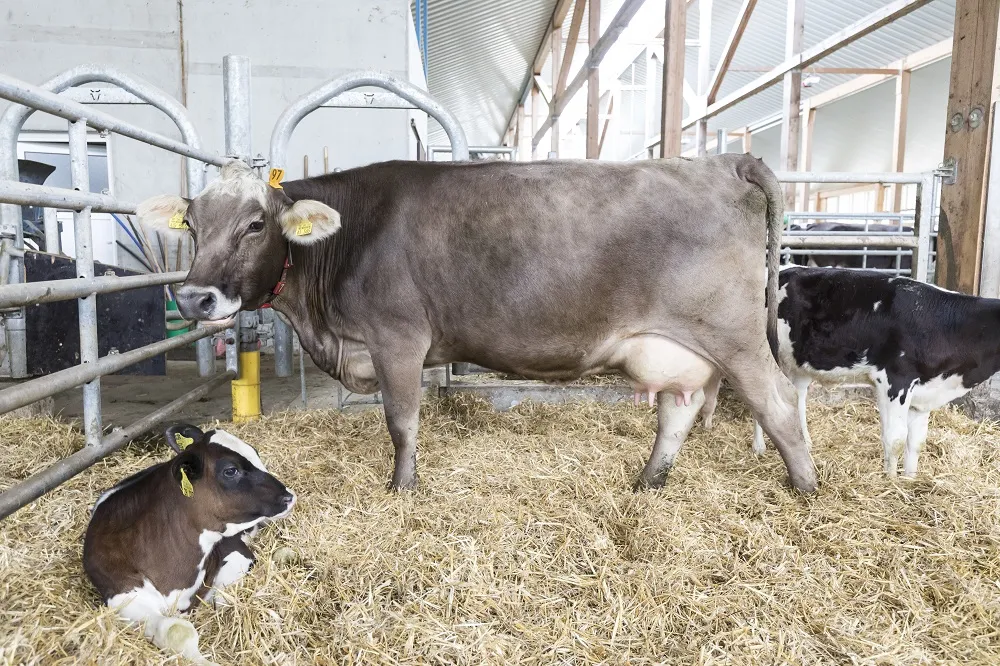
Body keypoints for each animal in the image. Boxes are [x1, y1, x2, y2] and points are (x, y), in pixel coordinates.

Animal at [82, 422, 294, 660]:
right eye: (231, 470)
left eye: (255, 453)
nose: (288, 496)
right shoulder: (121, 595)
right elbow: (176, 629)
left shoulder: (237, 552)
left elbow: (222, 598)